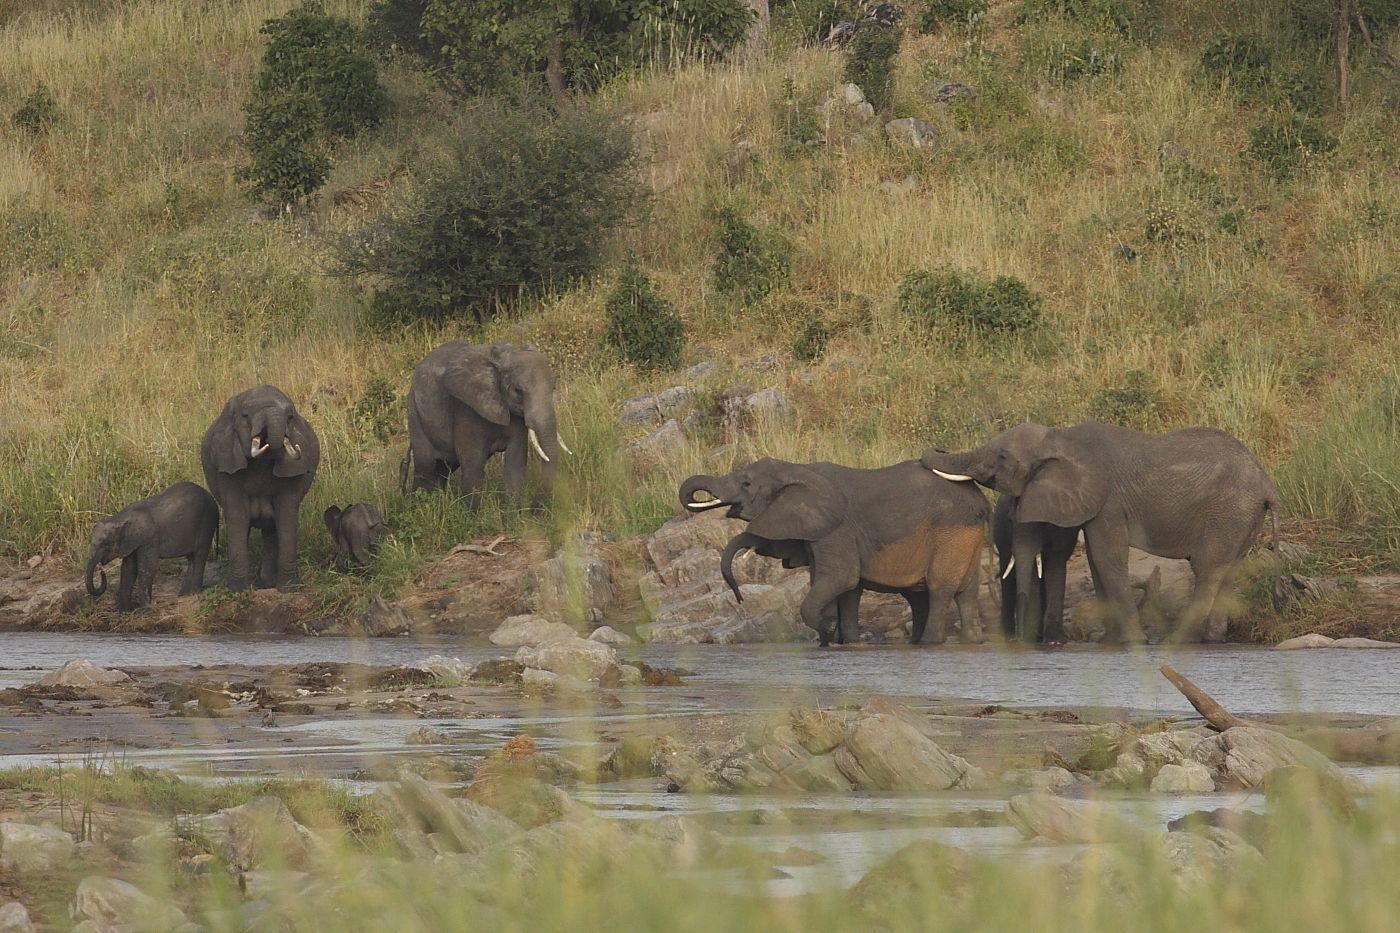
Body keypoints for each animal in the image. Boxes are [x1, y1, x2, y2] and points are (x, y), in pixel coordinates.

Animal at [85, 481, 219, 611]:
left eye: (106, 544)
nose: (101, 570)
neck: (120, 518)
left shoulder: (149, 539)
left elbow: (146, 568)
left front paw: (143, 611)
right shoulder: (132, 542)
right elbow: (128, 569)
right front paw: (125, 612)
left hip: (207, 524)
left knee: (200, 556)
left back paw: (194, 593)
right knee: (191, 558)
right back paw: (183, 595)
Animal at [200, 384, 320, 592]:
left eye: (290, 417)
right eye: (245, 415)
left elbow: (287, 516)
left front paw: (288, 589)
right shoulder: (226, 463)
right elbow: (237, 516)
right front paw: (238, 591)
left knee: (271, 530)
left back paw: (267, 583)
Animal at [404, 341, 571, 501]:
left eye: (553, 388)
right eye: (518, 391)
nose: (536, 506)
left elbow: (515, 463)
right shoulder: (466, 408)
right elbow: (474, 466)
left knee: (443, 468)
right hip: (415, 412)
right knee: (425, 466)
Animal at [680, 458, 988, 645]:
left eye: (746, 483)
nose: (740, 598)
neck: (796, 468)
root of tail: (981, 500)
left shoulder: (836, 528)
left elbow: (842, 577)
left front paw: (827, 629)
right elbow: (841, 586)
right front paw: (842, 640)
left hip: (949, 530)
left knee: (939, 589)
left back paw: (930, 642)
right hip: (964, 535)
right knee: (964, 590)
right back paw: (972, 640)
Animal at [992, 494, 1080, 644]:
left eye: (1044, 524)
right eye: (1010, 521)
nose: (1020, 637)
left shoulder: (1061, 533)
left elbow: (1055, 568)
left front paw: (1054, 641)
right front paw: (1030, 639)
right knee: (1007, 577)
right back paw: (1008, 638)